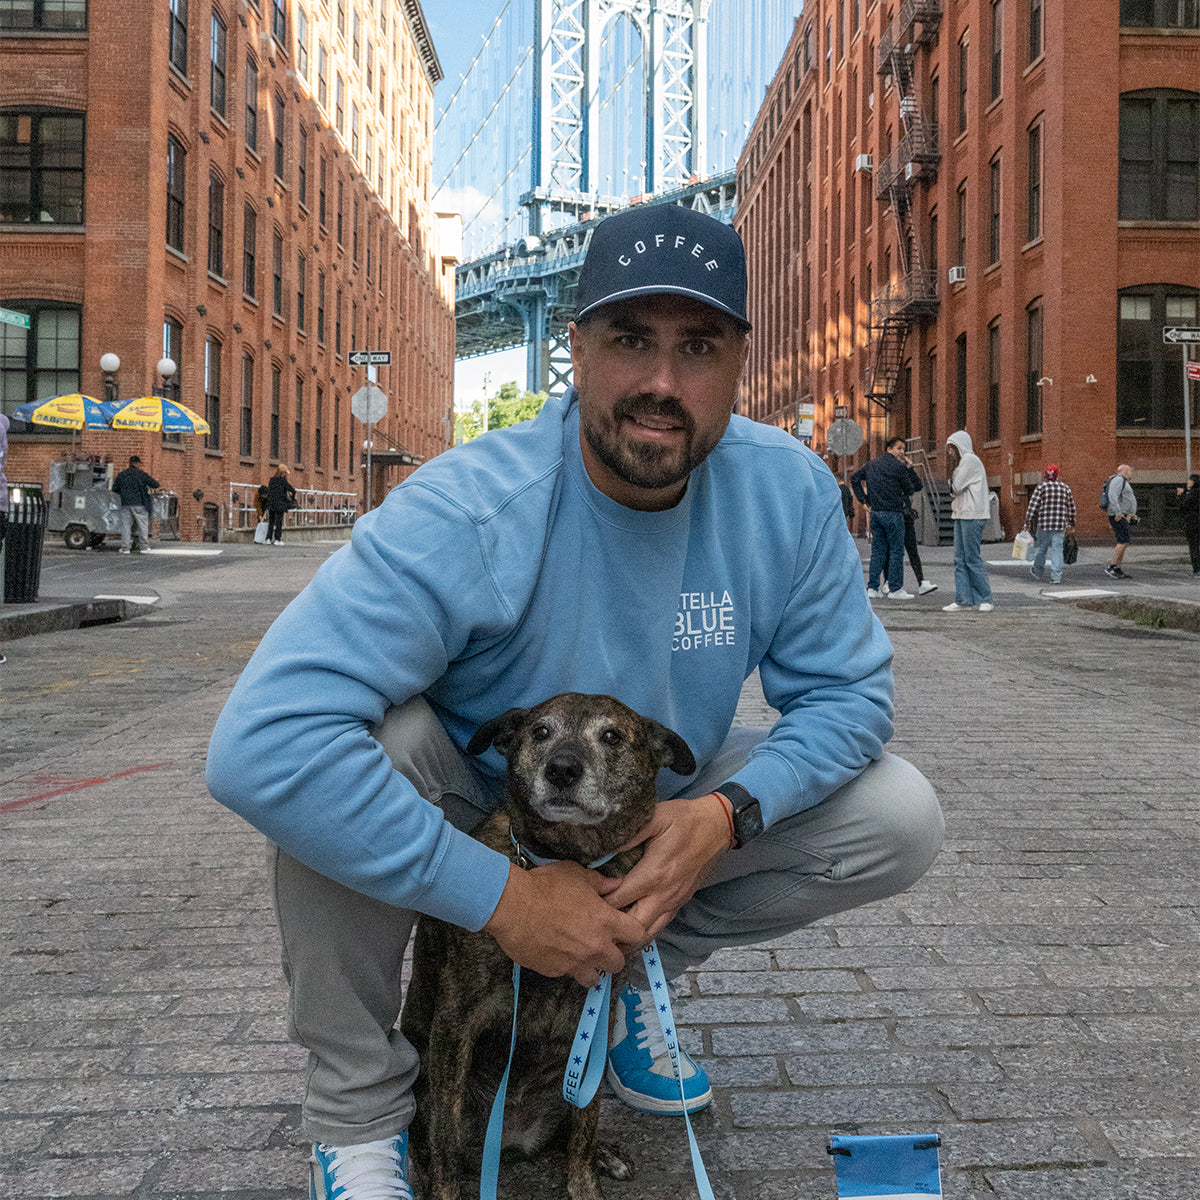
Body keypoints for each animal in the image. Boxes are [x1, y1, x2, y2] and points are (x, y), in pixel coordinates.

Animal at [403, 696, 700, 1200]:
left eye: (612, 736)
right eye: (540, 732)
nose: (562, 769)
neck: (571, 861)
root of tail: (512, 1141)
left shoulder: (598, 1016)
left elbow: (586, 1122)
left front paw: (584, 1184)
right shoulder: (456, 1024)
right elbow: (444, 1140)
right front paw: (444, 1189)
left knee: (573, 1124)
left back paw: (604, 1153)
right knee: (429, 1144)